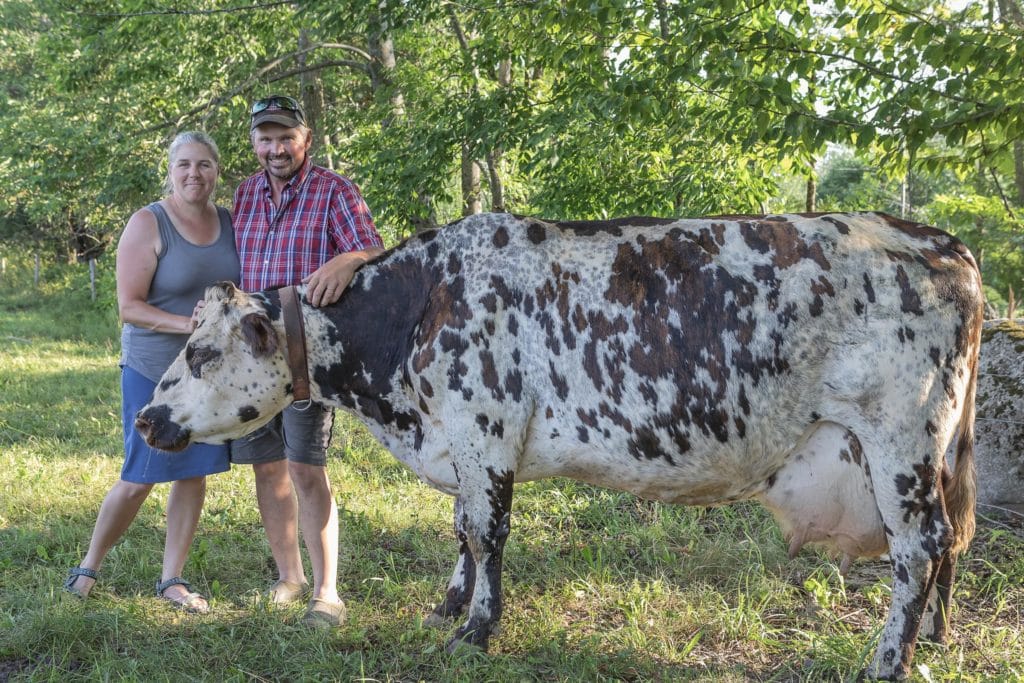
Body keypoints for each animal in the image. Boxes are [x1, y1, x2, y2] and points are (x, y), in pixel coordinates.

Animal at [136, 211, 983, 679]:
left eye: (201, 352)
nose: (146, 418)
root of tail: (942, 242)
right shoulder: (464, 446)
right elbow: (463, 532)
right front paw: (449, 606)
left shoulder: (482, 431)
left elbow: (486, 532)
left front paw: (477, 629)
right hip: (929, 453)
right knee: (948, 544)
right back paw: (937, 636)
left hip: (899, 438)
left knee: (920, 547)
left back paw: (887, 660)